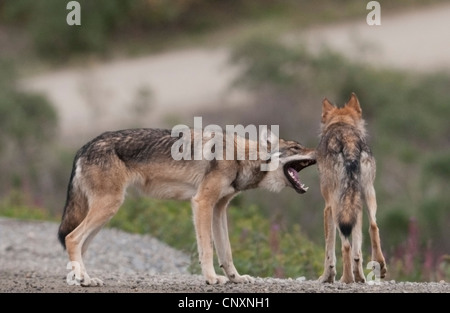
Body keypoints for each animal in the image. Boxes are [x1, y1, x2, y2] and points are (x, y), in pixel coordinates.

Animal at [57, 127, 316, 286]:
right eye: (296, 148)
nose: (319, 152)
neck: (241, 157)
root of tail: (83, 147)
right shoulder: (202, 203)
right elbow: (207, 249)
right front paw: (212, 278)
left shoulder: (219, 210)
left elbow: (227, 251)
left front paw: (236, 278)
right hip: (108, 207)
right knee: (71, 238)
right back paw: (83, 278)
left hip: (105, 214)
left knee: (79, 245)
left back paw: (83, 279)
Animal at [316, 92, 386, 282]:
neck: (341, 123)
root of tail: (348, 142)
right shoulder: (356, 206)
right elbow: (358, 251)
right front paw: (360, 277)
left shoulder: (327, 208)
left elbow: (329, 251)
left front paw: (327, 277)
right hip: (368, 194)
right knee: (373, 226)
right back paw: (379, 266)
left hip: (338, 207)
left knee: (345, 245)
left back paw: (346, 279)